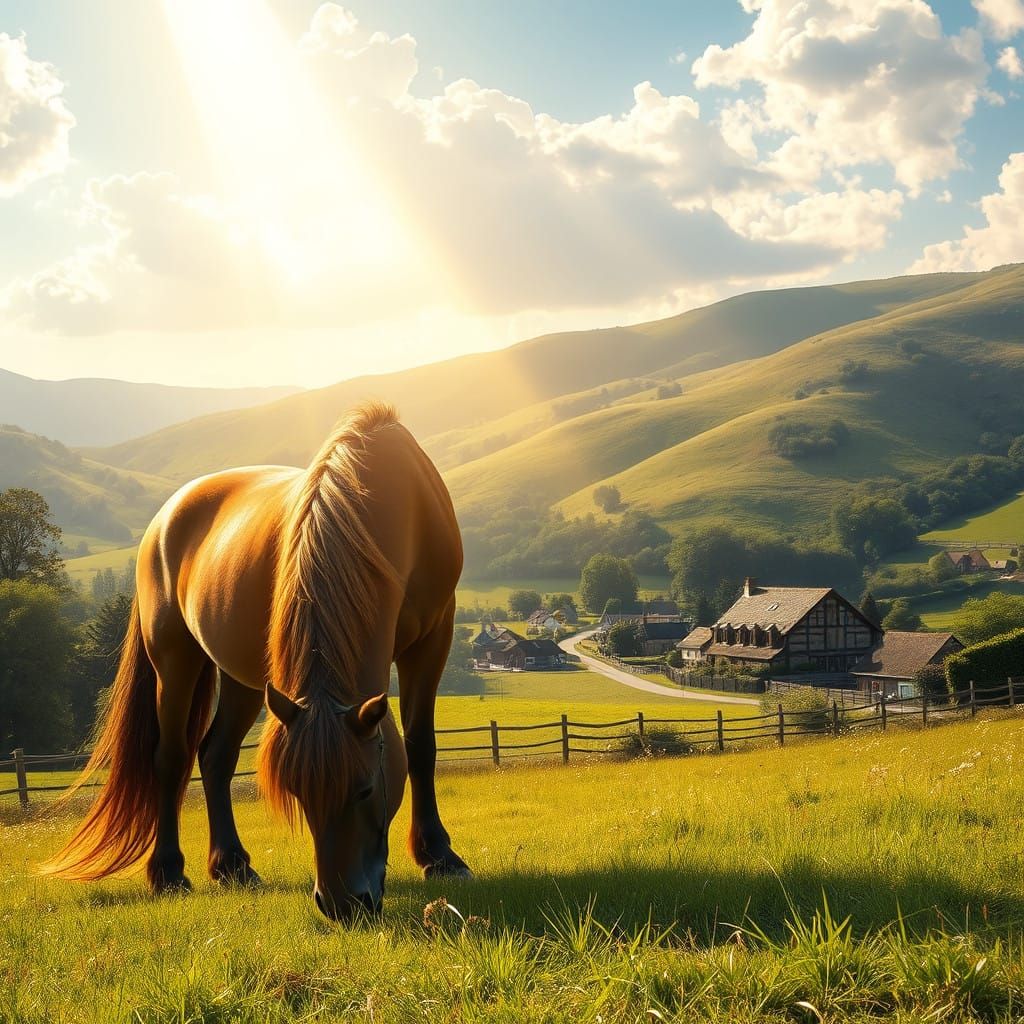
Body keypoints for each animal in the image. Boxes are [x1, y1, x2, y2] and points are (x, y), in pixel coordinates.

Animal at [44, 402, 471, 919]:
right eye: (299, 793)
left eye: (366, 788)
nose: (341, 905)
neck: (391, 502)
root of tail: (165, 517)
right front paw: (437, 854)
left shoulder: (434, 638)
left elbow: (422, 745)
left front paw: (440, 857)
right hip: (174, 660)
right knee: (172, 757)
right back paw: (169, 872)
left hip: (244, 679)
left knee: (216, 755)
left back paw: (232, 865)